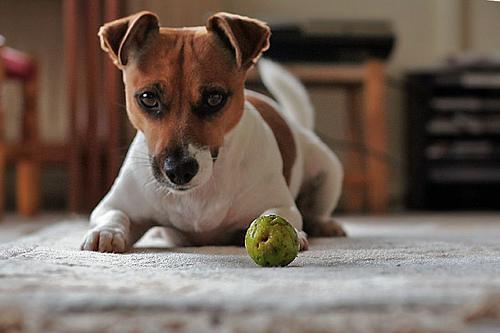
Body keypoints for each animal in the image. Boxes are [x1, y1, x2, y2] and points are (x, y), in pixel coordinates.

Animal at [80, 11, 346, 253]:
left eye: (214, 98)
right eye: (148, 98)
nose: (179, 171)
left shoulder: (281, 205)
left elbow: (281, 215)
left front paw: (295, 233)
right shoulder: (112, 205)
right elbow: (113, 215)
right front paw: (106, 232)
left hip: (328, 171)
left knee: (316, 212)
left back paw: (325, 225)